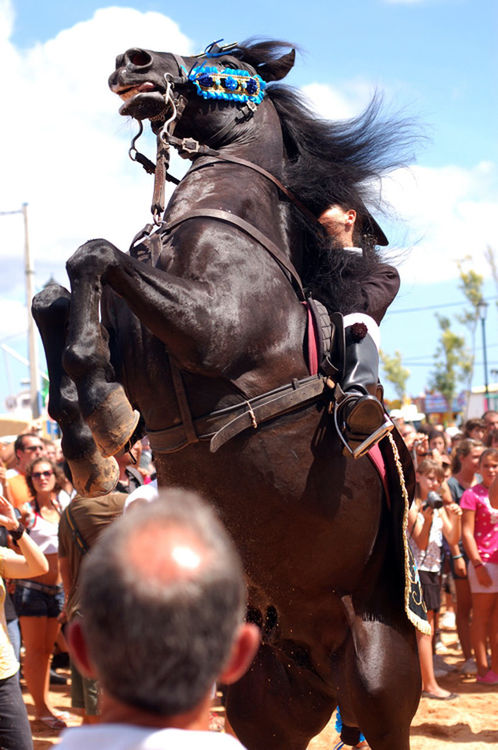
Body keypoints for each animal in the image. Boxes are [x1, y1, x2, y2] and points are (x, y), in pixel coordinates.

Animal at [35, 41, 422, 750]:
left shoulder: (209, 328)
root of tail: (321, 663)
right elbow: (59, 293)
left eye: (229, 63)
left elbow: (95, 257)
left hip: (381, 686)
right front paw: (89, 430)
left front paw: (99, 412)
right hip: (265, 706)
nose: (134, 60)